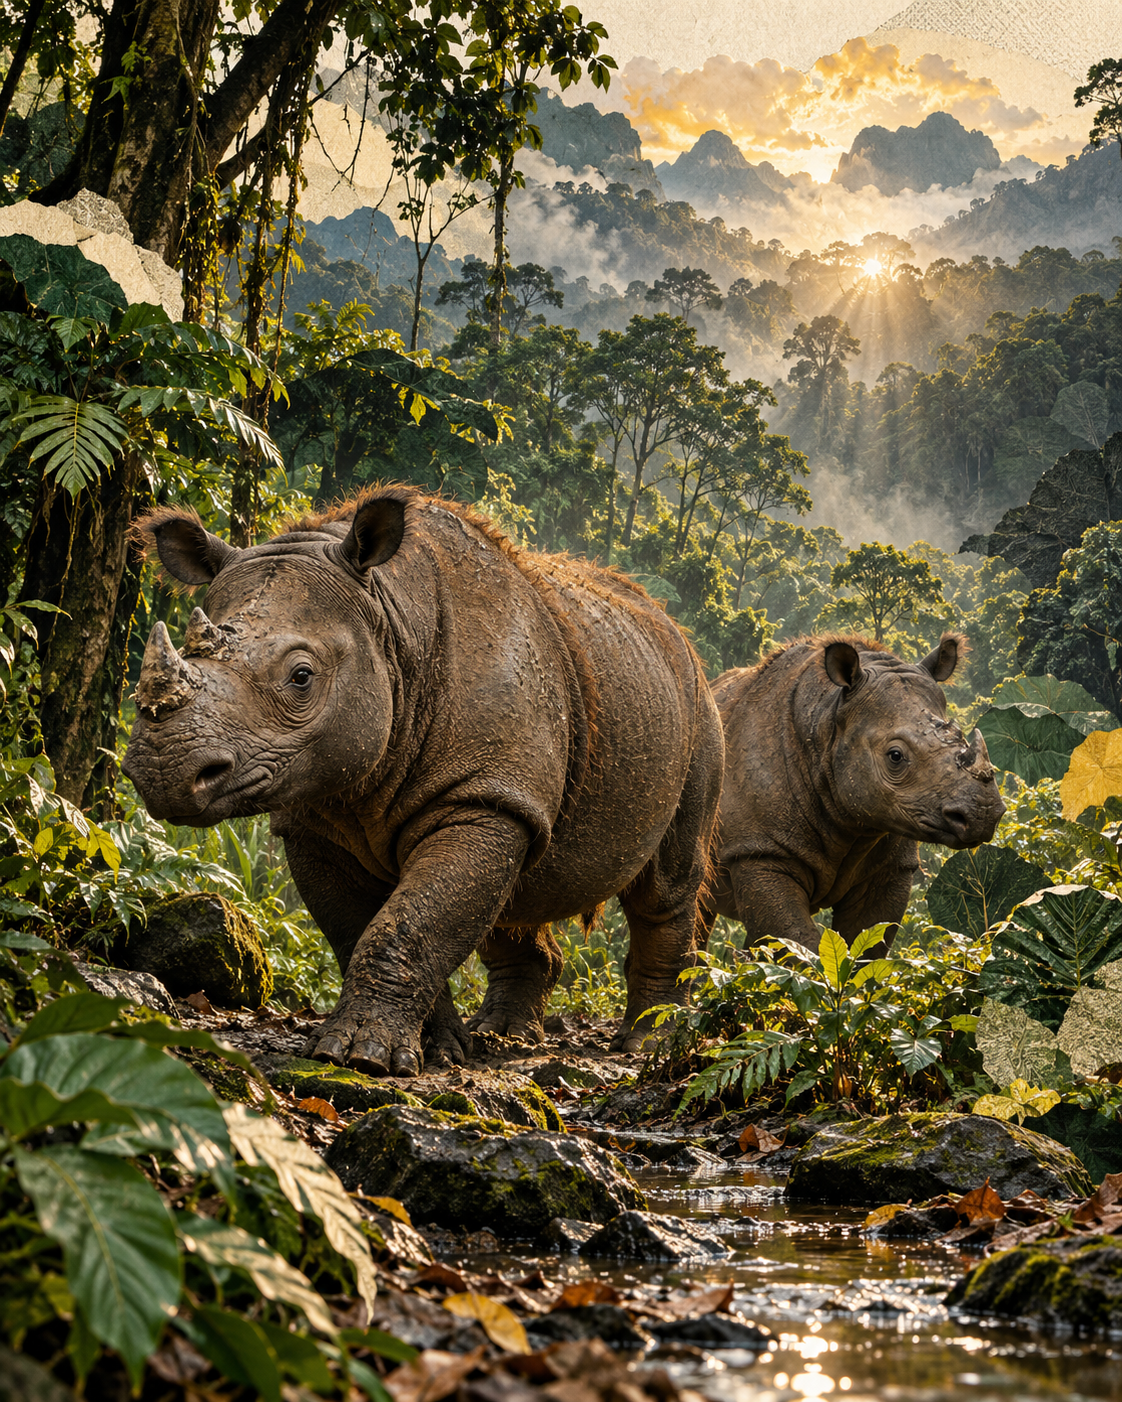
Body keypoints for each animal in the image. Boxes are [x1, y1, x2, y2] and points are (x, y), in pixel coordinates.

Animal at [122, 488, 723, 1074]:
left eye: (301, 677)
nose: (163, 769)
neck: (390, 625)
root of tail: (680, 637)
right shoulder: (316, 816)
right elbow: (369, 927)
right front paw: (435, 1049)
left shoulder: (479, 798)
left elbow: (411, 923)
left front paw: (361, 1057)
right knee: (518, 888)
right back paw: (502, 1035)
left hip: (698, 711)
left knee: (667, 883)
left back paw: (645, 1043)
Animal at [703, 633, 1005, 948]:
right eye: (895, 756)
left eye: (961, 737)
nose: (983, 814)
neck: (825, 721)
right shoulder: (758, 851)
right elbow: (797, 941)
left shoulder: (892, 863)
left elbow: (868, 942)